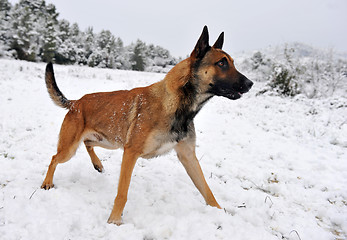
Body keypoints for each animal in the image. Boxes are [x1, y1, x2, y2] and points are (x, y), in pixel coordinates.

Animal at [41, 26, 253, 225]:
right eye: (221, 63)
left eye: (232, 62)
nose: (251, 83)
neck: (177, 104)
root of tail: (76, 103)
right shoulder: (130, 153)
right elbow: (122, 193)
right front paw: (114, 221)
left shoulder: (188, 157)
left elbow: (207, 190)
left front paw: (220, 212)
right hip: (71, 148)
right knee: (54, 158)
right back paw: (47, 183)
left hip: (109, 142)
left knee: (88, 144)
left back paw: (97, 164)